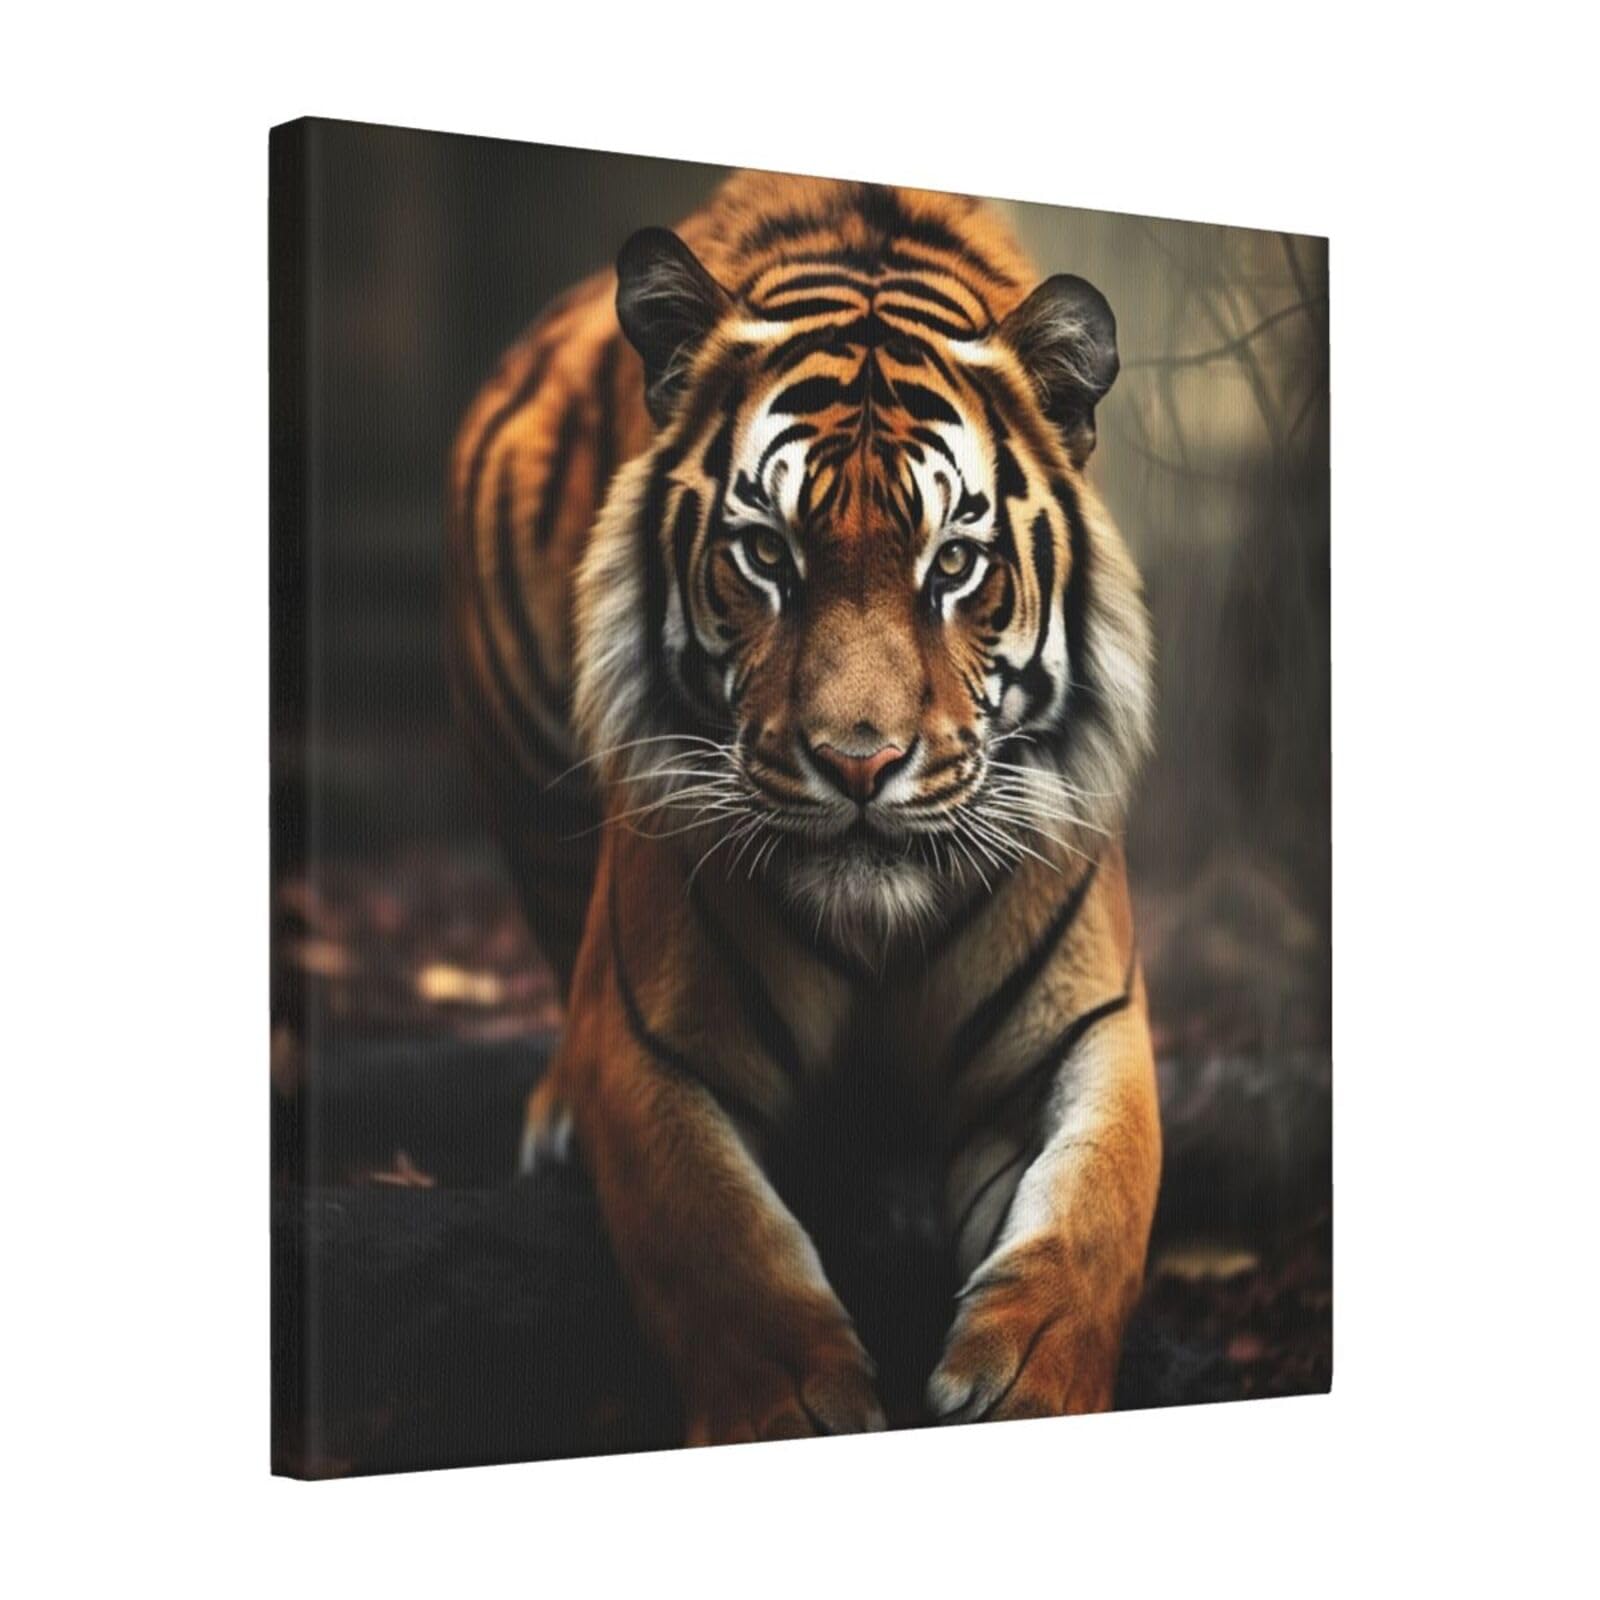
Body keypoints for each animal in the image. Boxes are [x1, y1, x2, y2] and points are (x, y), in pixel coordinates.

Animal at [447, 172, 1160, 1443]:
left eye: (952, 564)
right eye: (766, 554)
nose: (858, 762)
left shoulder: (1088, 1026)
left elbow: (1094, 1208)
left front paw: (1026, 1386)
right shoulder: (653, 1045)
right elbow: (719, 1246)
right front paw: (798, 1404)